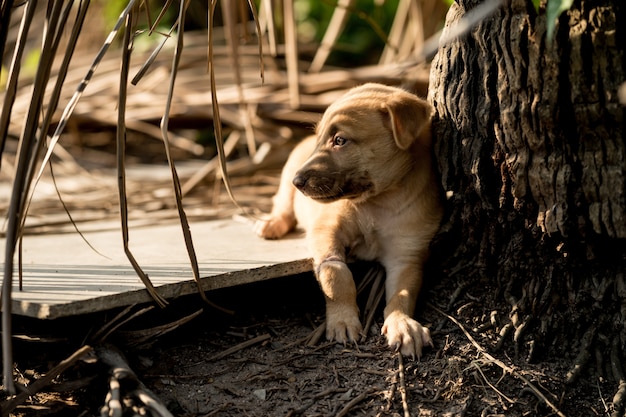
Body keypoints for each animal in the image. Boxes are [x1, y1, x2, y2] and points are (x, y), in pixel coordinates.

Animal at [251, 83, 442, 356]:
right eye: (322, 139)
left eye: (340, 140)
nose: (299, 181)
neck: (377, 202)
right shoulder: (326, 230)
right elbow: (336, 274)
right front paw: (343, 320)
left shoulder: (407, 255)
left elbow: (403, 293)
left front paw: (403, 325)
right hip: (287, 174)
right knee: (283, 204)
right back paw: (270, 224)